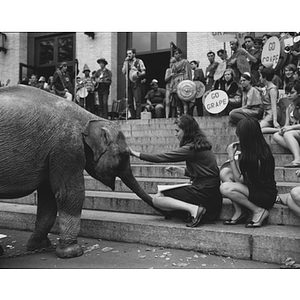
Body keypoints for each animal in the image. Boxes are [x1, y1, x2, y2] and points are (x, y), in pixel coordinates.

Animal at [0, 85, 166, 258]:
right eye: (124, 154)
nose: (168, 215)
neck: (89, 117)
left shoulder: (51, 153)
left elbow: (48, 199)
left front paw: (38, 246)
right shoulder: (67, 146)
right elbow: (68, 194)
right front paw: (72, 252)